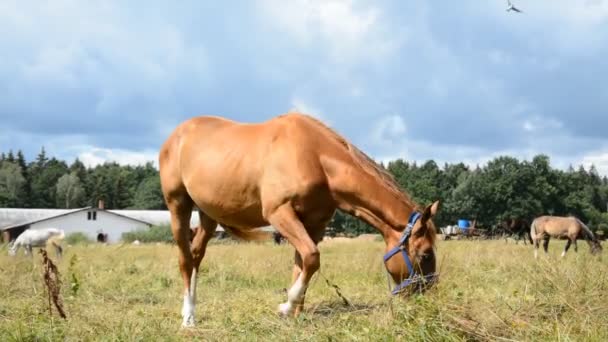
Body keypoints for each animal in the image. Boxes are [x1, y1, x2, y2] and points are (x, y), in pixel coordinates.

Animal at [159, 111, 440, 328]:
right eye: (426, 254)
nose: (427, 300)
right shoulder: (280, 213)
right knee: (185, 259)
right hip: (178, 205)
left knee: (197, 256)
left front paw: (294, 315)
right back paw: (188, 319)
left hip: (209, 215)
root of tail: (177, 134)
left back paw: (191, 310)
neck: (315, 158)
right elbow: (312, 257)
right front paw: (285, 306)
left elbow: (303, 263)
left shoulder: (313, 224)